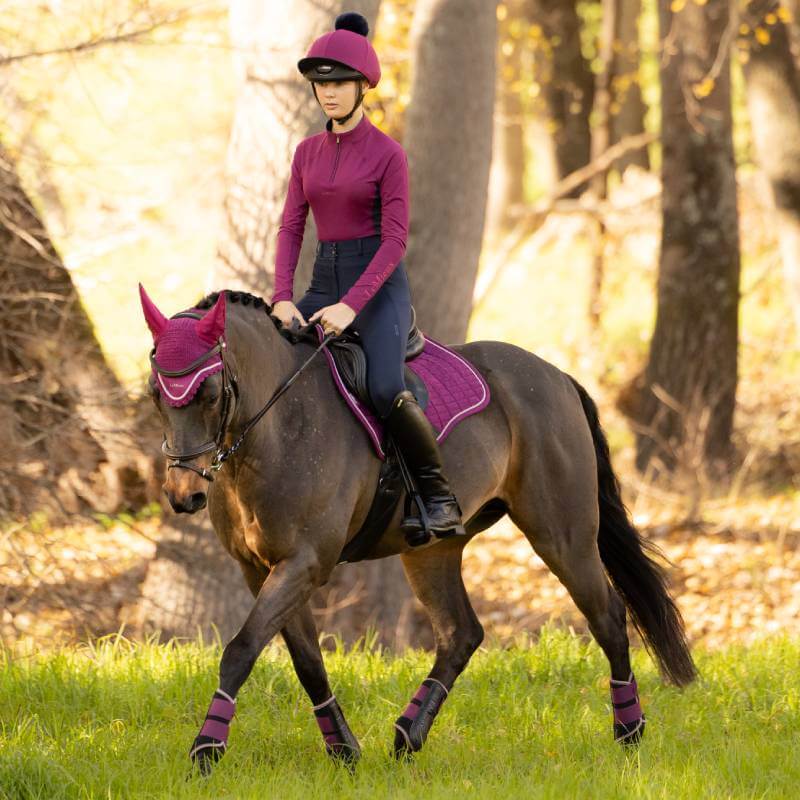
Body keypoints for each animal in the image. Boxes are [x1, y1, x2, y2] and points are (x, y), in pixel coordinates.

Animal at [140, 286, 696, 775]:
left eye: (210, 393)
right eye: (155, 394)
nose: (183, 495)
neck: (275, 429)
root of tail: (557, 376)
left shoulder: (305, 564)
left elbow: (240, 650)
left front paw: (206, 750)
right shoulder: (260, 569)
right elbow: (305, 660)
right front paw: (344, 750)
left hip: (563, 535)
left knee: (608, 617)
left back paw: (629, 733)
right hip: (432, 550)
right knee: (460, 633)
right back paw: (408, 735)